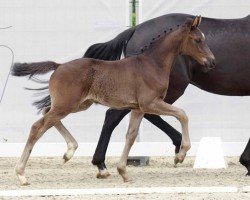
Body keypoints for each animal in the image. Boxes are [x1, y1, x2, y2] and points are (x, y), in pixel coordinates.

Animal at [12, 16, 215, 185]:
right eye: (198, 40)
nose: (211, 62)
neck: (152, 64)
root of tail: (59, 66)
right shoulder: (150, 103)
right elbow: (182, 114)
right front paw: (180, 155)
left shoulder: (138, 108)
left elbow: (131, 136)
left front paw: (123, 172)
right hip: (67, 105)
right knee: (38, 126)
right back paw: (22, 175)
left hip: (77, 104)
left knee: (46, 113)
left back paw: (69, 151)